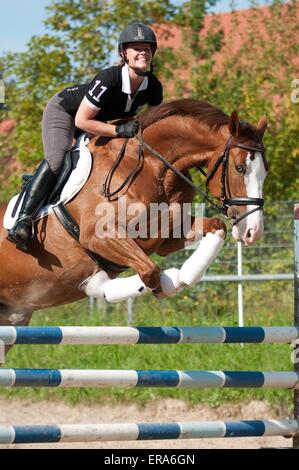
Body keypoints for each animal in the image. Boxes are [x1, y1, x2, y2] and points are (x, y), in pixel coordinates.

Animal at [0, 99, 268, 332]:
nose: (253, 232)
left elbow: (214, 227)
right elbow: (150, 270)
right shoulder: (98, 236)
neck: (151, 166)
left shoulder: (166, 238)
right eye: (239, 168)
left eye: (265, 172)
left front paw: (181, 277)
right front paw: (160, 283)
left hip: (14, 316)